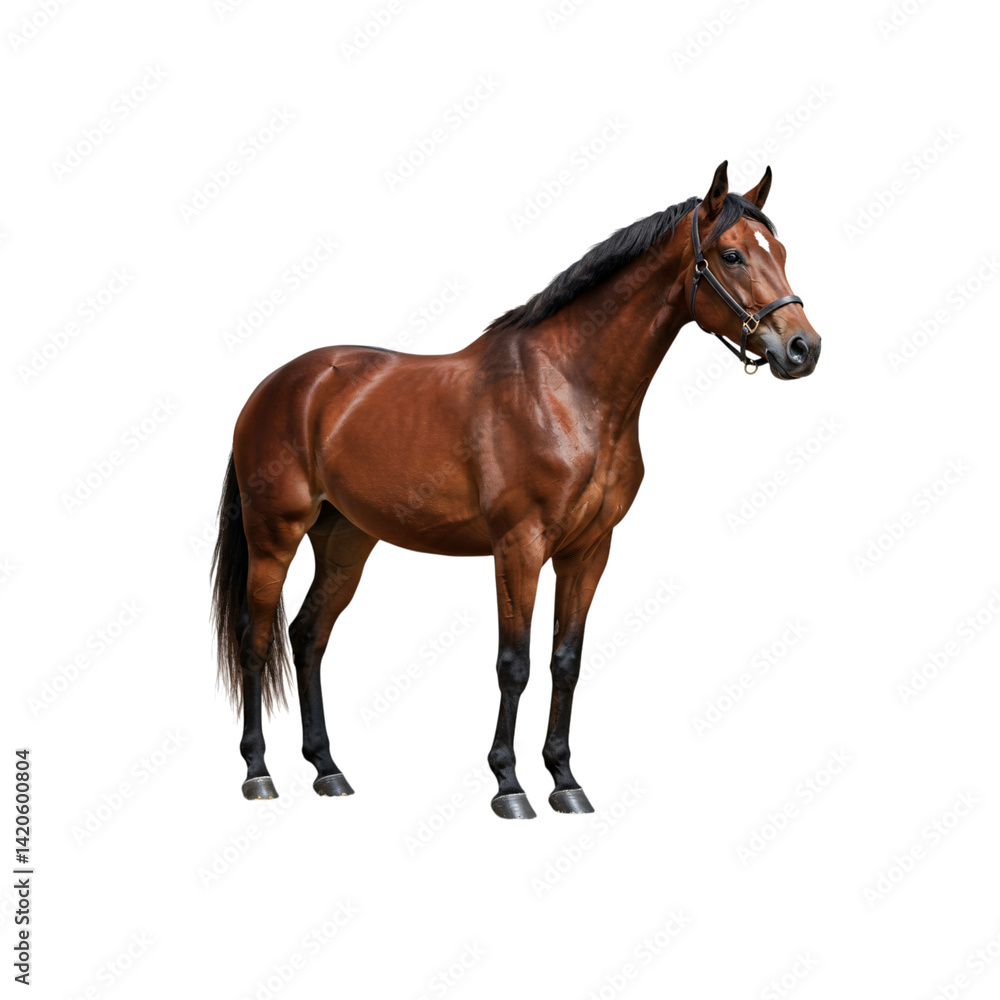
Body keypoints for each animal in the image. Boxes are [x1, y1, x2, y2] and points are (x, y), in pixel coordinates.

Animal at [211, 161, 821, 818]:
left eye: (781, 251)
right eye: (732, 255)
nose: (803, 348)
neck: (566, 389)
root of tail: (279, 385)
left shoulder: (589, 551)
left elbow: (565, 662)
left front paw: (565, 780)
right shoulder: (519, 547)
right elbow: (515, 664)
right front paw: (509, 784)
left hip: (345, 539)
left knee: (308, 636)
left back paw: (328, 770)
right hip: (274, 535)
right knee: (256, 638)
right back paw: (257, 772)